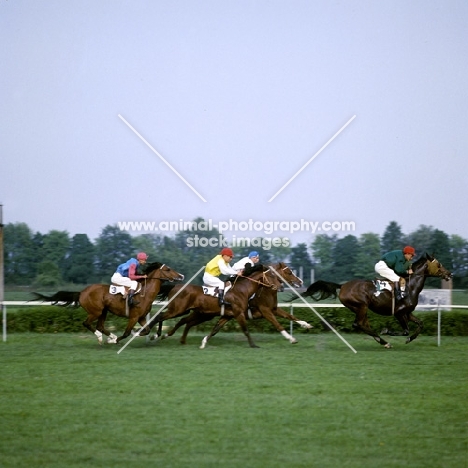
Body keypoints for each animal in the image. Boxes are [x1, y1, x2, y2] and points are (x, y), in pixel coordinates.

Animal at [34, 262, 184, 346]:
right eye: (168, 269)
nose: (181, 276)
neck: (144, 293)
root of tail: (82, 292)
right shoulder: (133, 317)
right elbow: (127, 332)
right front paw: (118, 340)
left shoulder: (141, 317)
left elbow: (146, 329)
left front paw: (143, 335)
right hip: (95, 311)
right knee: (87, 323)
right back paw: (102, 337)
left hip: (103, 311)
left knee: (100, 325)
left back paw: (110, 336)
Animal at [157, 264, 314, 348]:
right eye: (289, 272)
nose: (300, 282)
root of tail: (175, 286)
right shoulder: (264, 311)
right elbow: (277, 325)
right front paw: (291, 339)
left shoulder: (272, 309)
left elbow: (291, 316)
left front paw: (306, 324)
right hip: (183, 310)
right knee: (174, 319)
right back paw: (161, 335)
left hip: (202, 314)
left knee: (186, 322)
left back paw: (175, 338)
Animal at [294, 252, 452, 348]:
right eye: (439, 264)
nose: (449, 274)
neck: (410, 286)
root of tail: (343, 285)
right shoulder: (399, 313)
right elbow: (405, 330)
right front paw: (387, 330)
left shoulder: (408, 313)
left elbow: (421, 324)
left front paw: (410, 339)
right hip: (361, 306)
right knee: (358, 324)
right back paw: (383, 339)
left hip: (361, 308)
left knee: (364, 324)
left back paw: (382, 341)